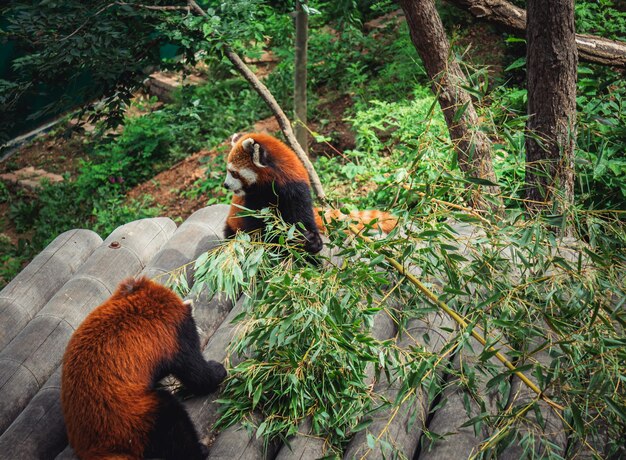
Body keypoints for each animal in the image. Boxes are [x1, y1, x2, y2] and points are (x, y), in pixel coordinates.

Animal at [59, 276, 225, 460]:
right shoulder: (175, 334)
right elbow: (195, 372)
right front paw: (218, 371)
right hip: (133, 418)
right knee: (171, 418)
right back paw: (198, 450)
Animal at [223, 133, 394, 253]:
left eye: (234, 173)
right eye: (228, 171)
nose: (225, 185)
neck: (271, 186)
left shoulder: (296, 189)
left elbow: (302, 218)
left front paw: (311, 240)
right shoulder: (252, 201)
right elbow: (257, 227)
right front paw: (277, 242)